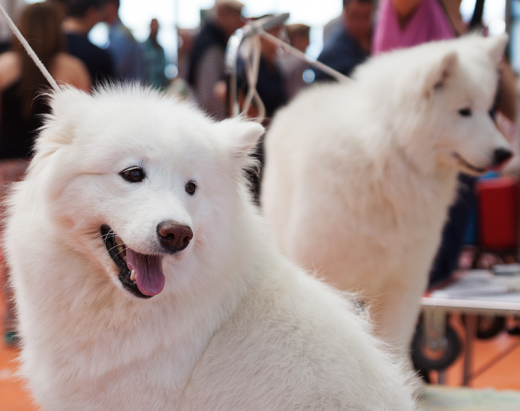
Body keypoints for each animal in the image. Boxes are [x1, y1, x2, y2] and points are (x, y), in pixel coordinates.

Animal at [262, 36, 512, 360]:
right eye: (464, 111)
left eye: (487, 110)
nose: (505, 153)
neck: (392, 154)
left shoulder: (402, 285)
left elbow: (394, 346)